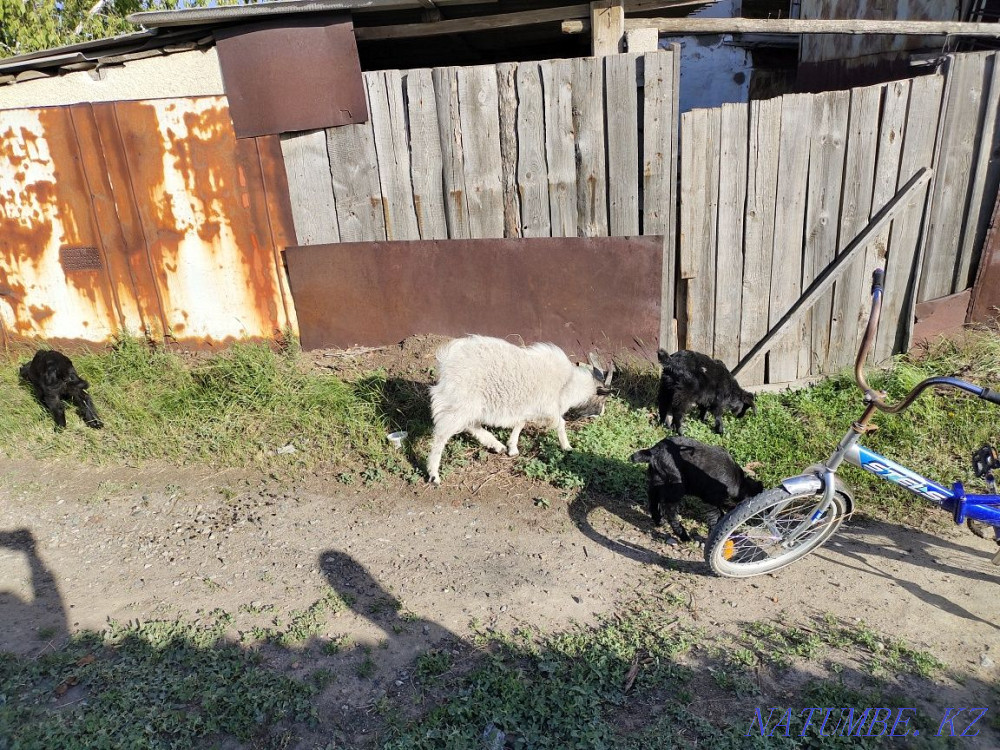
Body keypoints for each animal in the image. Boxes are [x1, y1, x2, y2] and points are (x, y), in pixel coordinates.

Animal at [426, 335, 613, 484]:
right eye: (603, 397)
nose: (601, 414)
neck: (567, 383)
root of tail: (446, 359)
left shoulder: (529, 406)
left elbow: (520, 423)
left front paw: (512, 448)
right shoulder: (547, 407)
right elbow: (560, 423)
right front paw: (567, 447)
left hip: (467, 403)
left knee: (470, 424)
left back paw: (497, 445)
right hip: (461, 399)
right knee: (442, 433)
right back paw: (434, 475)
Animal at [630, 436, 763, 542]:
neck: (739, 483)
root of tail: (655, 451)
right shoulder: (711, 500)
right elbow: (716, 515)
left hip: (657, 481)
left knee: (652, 499)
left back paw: (659, 521)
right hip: (676, 488)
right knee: (670, 511)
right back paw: (683, 535)